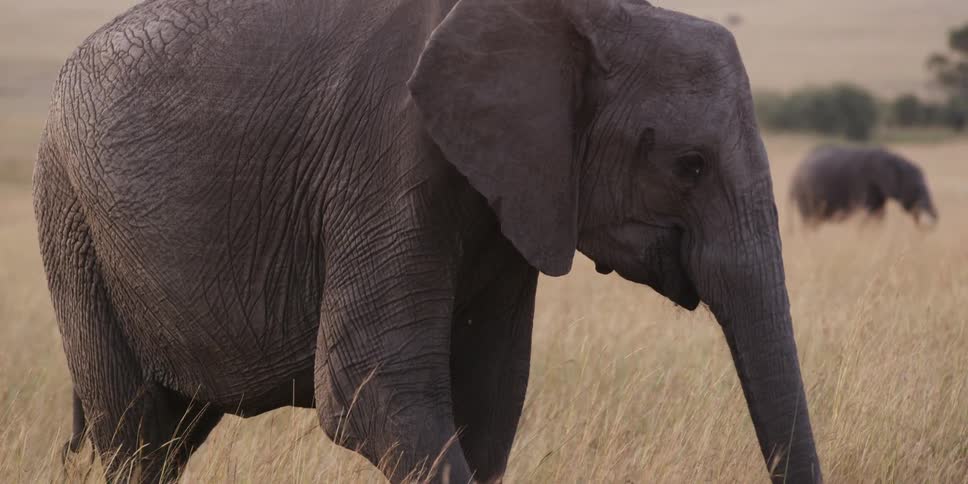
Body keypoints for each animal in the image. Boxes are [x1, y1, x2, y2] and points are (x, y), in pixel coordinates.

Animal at [33, 0, 822, 482]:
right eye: (690, 165)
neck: (583, 17)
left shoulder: (519, 186)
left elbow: (489, 397)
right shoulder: (386, 154)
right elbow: (371, 388)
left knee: (168, 433)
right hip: (68, 210)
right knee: (136, 432)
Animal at [790, 145, 938, 228]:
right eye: (916, 189)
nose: (934, 218)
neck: (892, 158)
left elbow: (878, 216)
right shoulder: (863, 183)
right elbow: (867, 215)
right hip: (805, 195)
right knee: (810, 221)